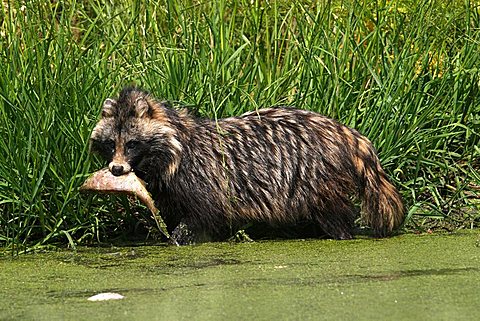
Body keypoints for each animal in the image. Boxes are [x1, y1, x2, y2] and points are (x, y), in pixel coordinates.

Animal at [91, 86, 404, 241]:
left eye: (132, 144)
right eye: (110, 144)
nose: (116, 169)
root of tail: (345, 133)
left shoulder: (203, 177)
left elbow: (203, 214)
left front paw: (179, 238)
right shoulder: (168, 188)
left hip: (317, 174)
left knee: (334, 213)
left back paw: (341, 234)